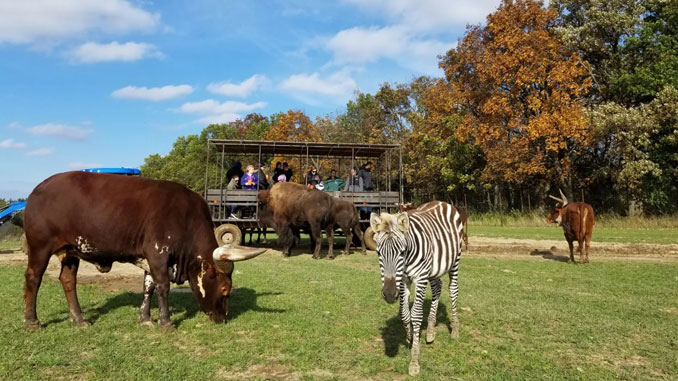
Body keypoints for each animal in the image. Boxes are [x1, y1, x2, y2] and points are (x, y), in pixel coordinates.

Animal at [23, 171, 266, 328]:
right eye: (225, 289)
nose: (223, 318)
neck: (185, 216)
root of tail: (37, 190)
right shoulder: (158, 254)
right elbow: (163, 286)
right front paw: (166, 322)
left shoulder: (150, 259)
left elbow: (148, 286)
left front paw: (146, 318)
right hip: (40, 247)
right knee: (33, 278)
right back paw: (32, 321)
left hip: (70, 251)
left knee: (67, 280)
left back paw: (79, 319)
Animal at [372, 200, 468, 376]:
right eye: (378, 253)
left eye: (401, 252)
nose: (389, 294)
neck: (408, 257)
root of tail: (443, 202)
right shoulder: (403, 280)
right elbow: (404, 314)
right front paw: (410, 338)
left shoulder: (420, 278)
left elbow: (415, 315)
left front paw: (414, 360)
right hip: (435, 267)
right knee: (437, 288)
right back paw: (430, 331)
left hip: (455, 259)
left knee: (453, 290)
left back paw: (455, 330)